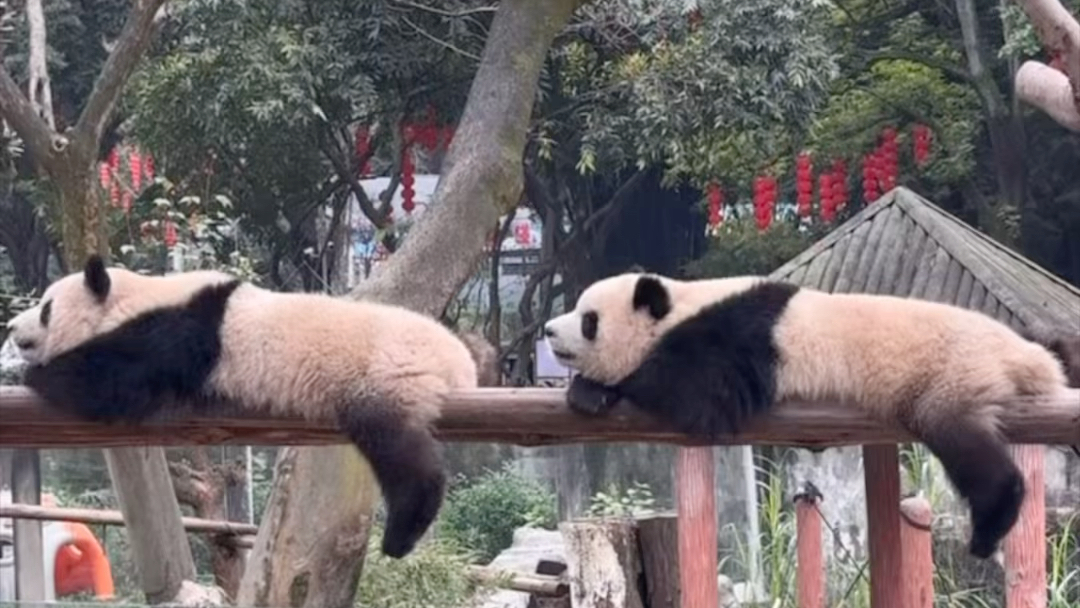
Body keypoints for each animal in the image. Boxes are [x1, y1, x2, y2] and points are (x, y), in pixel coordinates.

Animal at [3, 254, 477, 557]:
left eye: (45, 309)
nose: (11, 327)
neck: (135, 295)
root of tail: (461, 363)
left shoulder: (180, 331)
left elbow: (115, 384)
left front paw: (34, 373)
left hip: (383, 375)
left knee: (396, 448)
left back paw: (402, 531)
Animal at [544, 271, 1080, 561]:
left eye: (588, 320)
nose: (548, 330)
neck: (684, 303)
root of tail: (1031, 358)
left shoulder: (741, 335)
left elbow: (702, 395)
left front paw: (594, 390)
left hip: (951, 374)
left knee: (964, 446)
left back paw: (991, 525)